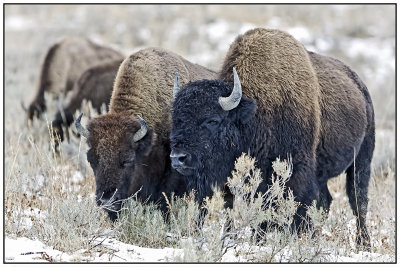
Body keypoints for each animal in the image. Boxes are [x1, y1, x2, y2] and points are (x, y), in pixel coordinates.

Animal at [170, 28, 376, 250]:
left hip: (361, 160)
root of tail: (360, 86)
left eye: (212, 120)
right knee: (326, 200)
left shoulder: (296, 171)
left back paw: (364, 243)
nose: (178, 158)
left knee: (358, 202)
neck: (256, 112)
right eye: (176, 119)